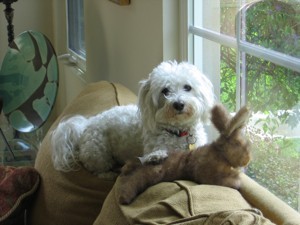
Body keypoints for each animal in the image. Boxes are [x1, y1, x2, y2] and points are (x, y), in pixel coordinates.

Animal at [52, 60, 216, 178]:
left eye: (187, 87)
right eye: (165, 91)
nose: (179, 104)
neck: (178, 132)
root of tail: (86, 124)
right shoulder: (153, 147)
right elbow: (156, 154)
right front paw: (156, 157)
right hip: (97, 151)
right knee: (98, 168)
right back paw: (109, 174)